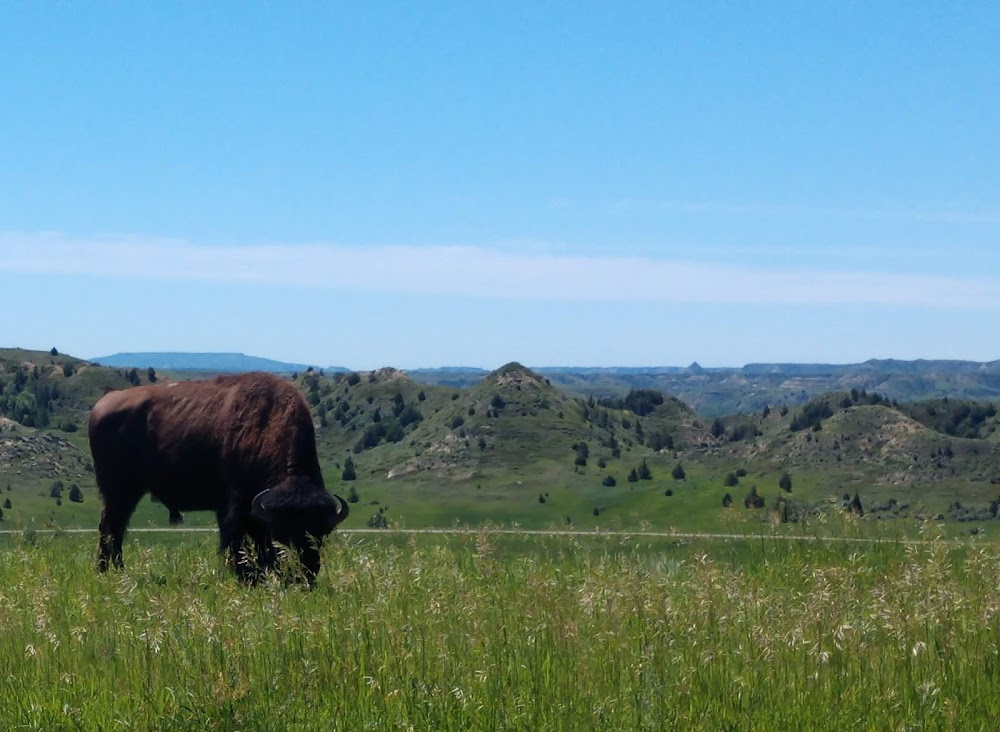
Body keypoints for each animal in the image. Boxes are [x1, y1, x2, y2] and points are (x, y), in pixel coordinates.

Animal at [87, 372, 352, 584]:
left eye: (321, 534)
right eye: (280, 533)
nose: (302, 575)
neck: (267, 423)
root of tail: (104, 402)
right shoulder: (237, 508)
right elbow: (236, 542)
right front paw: (246, 577)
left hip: (126, 493)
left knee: (116, 526)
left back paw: (115, 570)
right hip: (119, 490)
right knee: (110, 526)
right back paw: (108, 570)